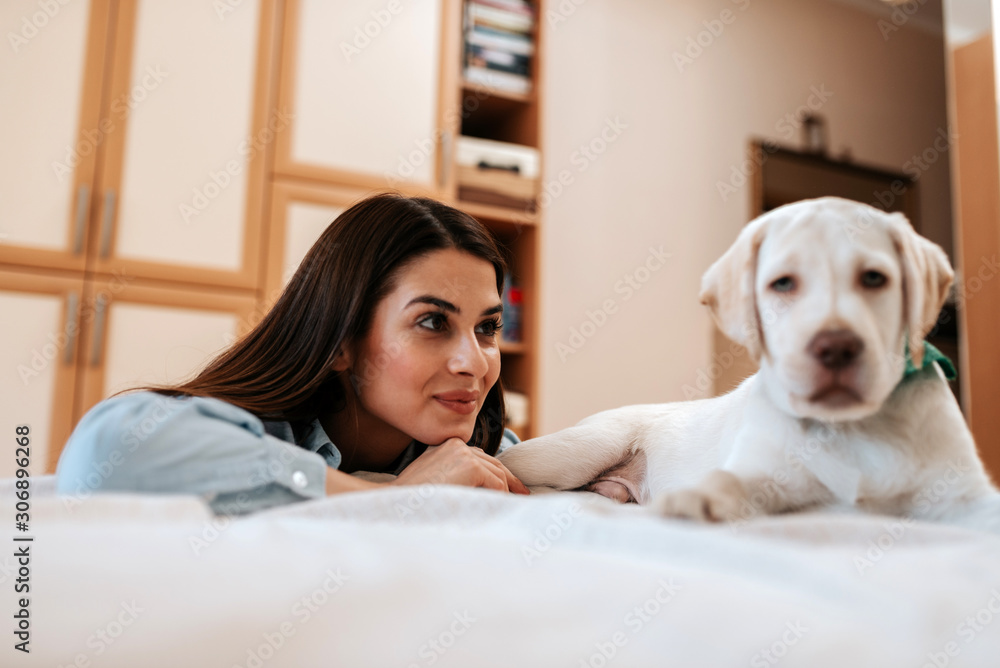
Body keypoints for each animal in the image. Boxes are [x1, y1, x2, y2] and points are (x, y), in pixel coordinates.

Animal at [500, 196, 1000, 528]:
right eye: (783, 283)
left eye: (874, 278)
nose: (836, 347)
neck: (848, 427)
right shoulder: (762, 473)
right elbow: (730, 482)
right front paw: (695, 499)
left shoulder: (963, 495)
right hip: (578, 451)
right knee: (510, 468)